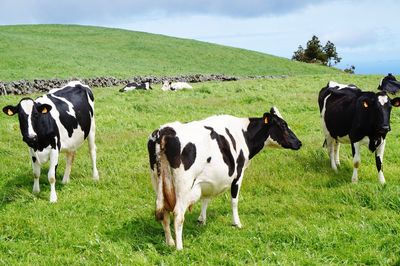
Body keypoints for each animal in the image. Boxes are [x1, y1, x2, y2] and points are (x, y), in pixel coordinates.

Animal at [148, 106, 302, 249]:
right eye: (283, 125)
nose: (299, 143)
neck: (243, 134)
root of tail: (164, 131)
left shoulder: (207, 179)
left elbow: (205, 199)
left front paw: (201, 220)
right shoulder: (238, 174)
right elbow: (234, 201)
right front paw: (237, 223)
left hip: (158, 182)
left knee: (164, 213)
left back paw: (170, 242)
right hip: (183, 185)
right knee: (178, 214)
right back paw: (179, 247)